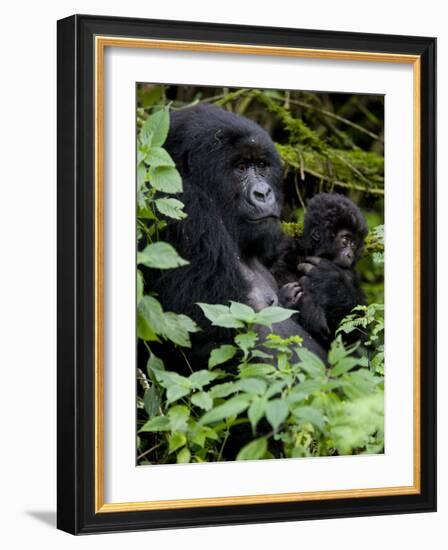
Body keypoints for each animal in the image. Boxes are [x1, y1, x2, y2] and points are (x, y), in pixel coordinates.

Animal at [276, 194, 368, 348]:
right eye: (345, 240)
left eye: (354, 244)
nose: (350, 255)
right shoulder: (284, 251)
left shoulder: (351, 274)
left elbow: (353, 333)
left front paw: (329, 282)